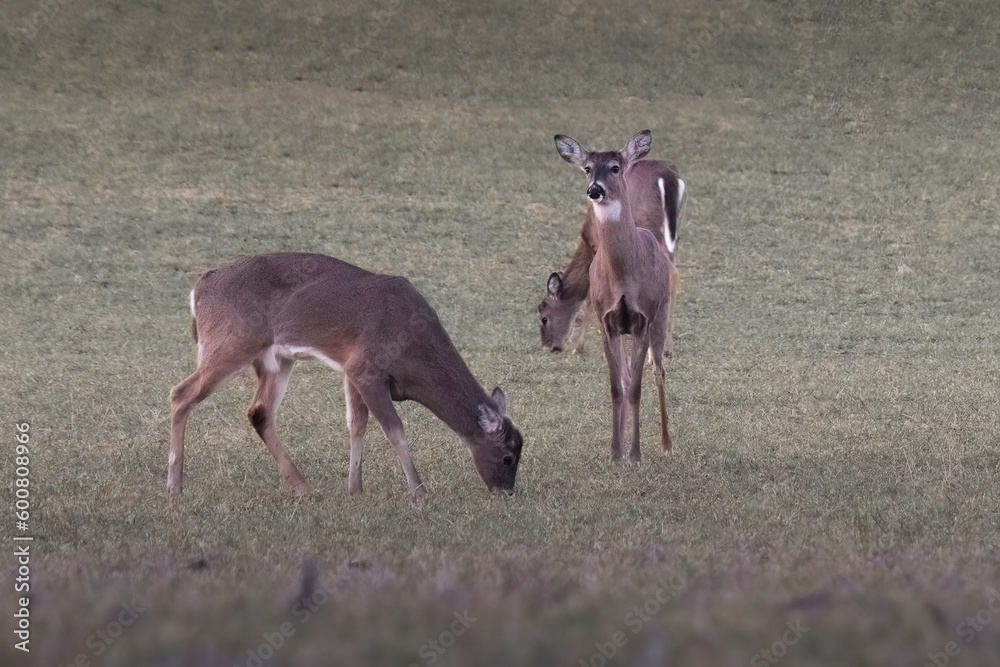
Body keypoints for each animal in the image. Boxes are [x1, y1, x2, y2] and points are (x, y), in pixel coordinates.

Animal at [168, 252, 523, 498]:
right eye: (507, 457)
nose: (506, 492)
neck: (414, 353)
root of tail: (198, 290)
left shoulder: (351, 370)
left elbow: (357, 424)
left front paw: (355, 489)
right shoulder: (367, 368)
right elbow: (394, 429)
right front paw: (419, 491)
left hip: (275, 359)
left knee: (259, 411)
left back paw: (303, 487)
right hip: (231, 342)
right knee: (181, 393)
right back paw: (174, 485)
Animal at [539, 157, 684, 355]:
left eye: (544, 317)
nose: (548, 346)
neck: (586, 239)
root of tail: (667, 176)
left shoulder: (599, 247)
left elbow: (591, 296)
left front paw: (578, 346)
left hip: (647, 225)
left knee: (672, 274)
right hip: (671, 234)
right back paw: (666, 347)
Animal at [553, 130, 677, 460]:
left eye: (615, 167)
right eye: (587, 168)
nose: (594, 190)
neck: (622, 279)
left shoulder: (643, 318)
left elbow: (636, 389)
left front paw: (635, 454)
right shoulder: (607, 320)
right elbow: (617, 388)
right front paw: (615, 453)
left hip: (661, 312)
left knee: (658, 370)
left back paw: (666, 443)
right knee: (626, 377)